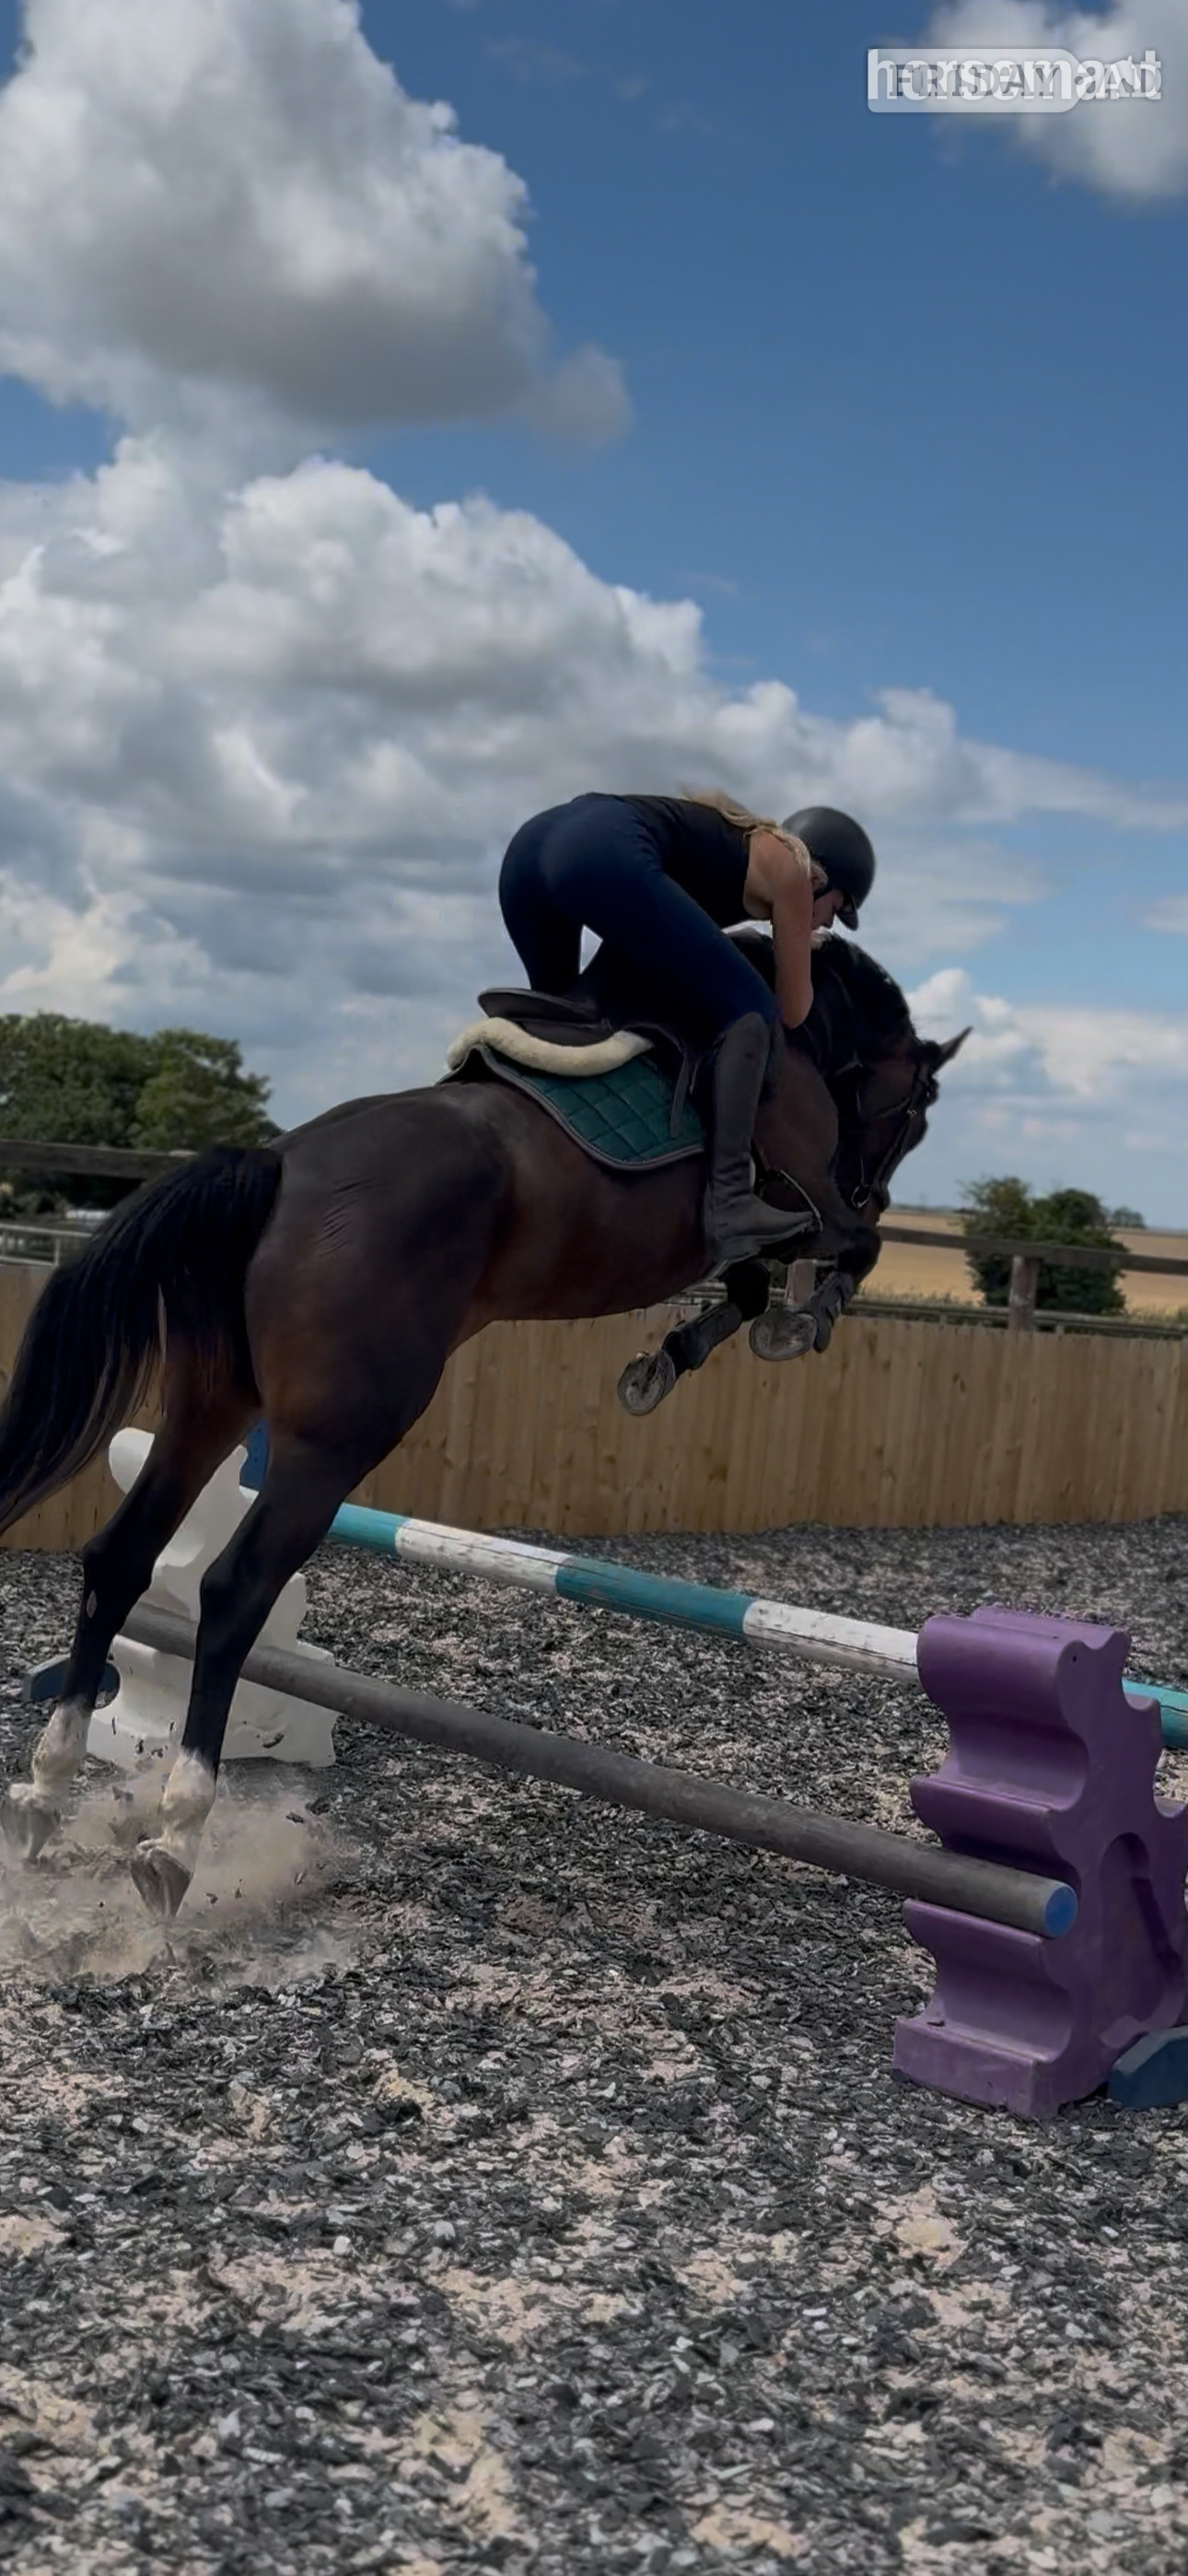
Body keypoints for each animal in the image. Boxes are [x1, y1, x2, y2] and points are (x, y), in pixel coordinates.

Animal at [0, 933, 965, 1916]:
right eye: (915, 1114)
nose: (872, 1187)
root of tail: (279, 1167)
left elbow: (748, 1283)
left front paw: (666, 1361)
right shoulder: (790, 1204)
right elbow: (837, 1254)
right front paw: (799, 1322)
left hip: (211, 1405)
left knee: (120, 1557)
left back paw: (45, 1788)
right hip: (336, 1438)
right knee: (233, 1591)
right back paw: (178, 1832)